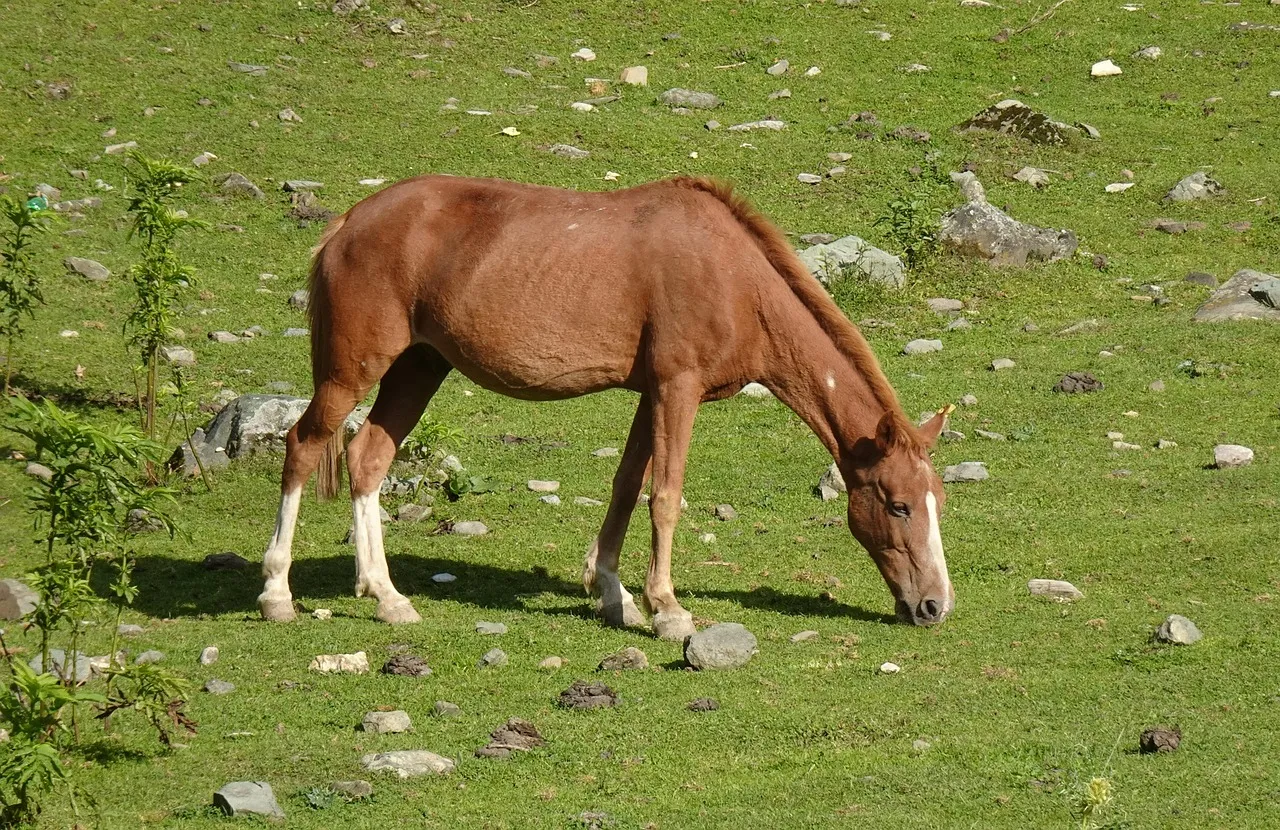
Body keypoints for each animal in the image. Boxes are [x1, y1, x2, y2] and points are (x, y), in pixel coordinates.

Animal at [258, 175, 955, 640]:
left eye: (936, 503)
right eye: (897, 505)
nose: (934, 606)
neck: (733, 276)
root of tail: (347, 222)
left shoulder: (651, 394)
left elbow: (625, 487)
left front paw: (612, 593)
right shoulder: (678, 388)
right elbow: (665, 496)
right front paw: (668, 608)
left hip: (418, 368)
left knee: (368, 460)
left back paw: (387, 597)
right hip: (353, 372)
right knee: (303, 447)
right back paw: (277, 593)